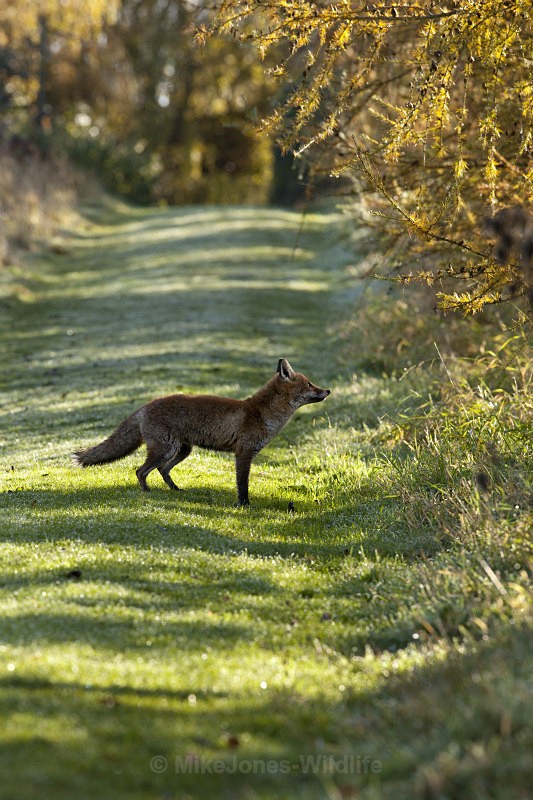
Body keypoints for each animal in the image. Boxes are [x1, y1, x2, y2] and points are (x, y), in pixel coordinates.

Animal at [73, 358, 330, 506]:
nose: (327, 390)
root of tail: (145, 405)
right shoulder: (243, 453)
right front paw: (244, 505)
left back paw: (176, 491)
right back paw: (147, 493)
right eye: (309, 385)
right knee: (140, 470)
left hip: (182, 451)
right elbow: (243, 484)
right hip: (166, 449)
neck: (261, 414)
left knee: (162, 470)